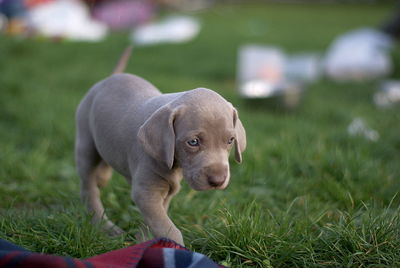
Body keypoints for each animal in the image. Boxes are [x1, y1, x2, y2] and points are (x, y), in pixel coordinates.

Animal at [73, 48, 245, 245]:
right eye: (193, 142)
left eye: (230, 141)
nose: (217, 181)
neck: (174, 164)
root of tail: (109, 78)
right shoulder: (146, 191)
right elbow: (167, 227)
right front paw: (174, 247)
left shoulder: (166, 192)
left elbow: (155, 220)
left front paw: (143, 239)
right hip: (85, 143)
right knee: (89, 188)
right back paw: (105, 226)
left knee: (101, 176)